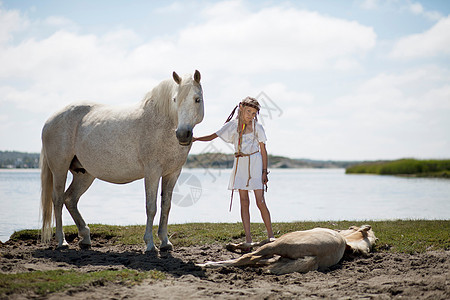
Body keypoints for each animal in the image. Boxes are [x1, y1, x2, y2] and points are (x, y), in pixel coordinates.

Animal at [40, 69, 204, 251]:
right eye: (175, 100)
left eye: (197, 99)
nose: (182, 134)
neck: (162, 123)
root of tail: (50, 120)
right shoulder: (152, 172)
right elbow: (151, 207)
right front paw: (150, 244)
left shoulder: (173, 173)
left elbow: (165, 206)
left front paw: (165, 242)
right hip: (59, 170)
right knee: (58, 199)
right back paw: (62, 241)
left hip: (84, 174)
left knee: (70, 199)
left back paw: (85, 237)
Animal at [199, 225, 378, 274]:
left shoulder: (274, 243)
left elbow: (256, 243)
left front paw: (232, 246)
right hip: (278, 254)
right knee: (251, 260)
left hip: (277, 245)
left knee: (246, 258)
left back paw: (206, 264)